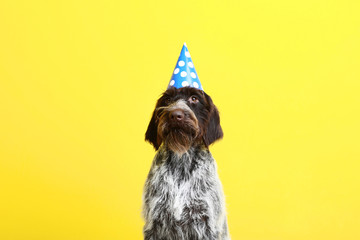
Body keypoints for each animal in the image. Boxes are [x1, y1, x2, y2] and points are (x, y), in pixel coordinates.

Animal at [142, 86, 229, 240]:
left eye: (194, 98)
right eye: (167, 99)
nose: (175, 115)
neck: (182, 159)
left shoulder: (206, 222)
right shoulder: (154, 222)